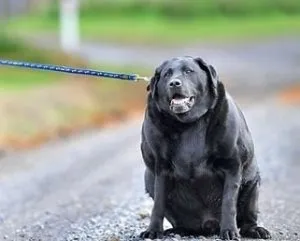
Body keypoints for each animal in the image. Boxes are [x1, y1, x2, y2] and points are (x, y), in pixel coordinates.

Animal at [139, 55, 270, 240]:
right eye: (166, 74)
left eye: (189, 71)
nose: (174, 83)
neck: (188, 123)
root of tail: (208, 224)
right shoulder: (160, 167)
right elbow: (158, 204)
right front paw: (153, 230)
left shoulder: (233, 165)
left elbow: (229, 202)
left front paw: (229, 231)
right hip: (148, 178)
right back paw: (178, 230)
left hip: (252, 182)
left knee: (247, 218)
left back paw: (255, 229)